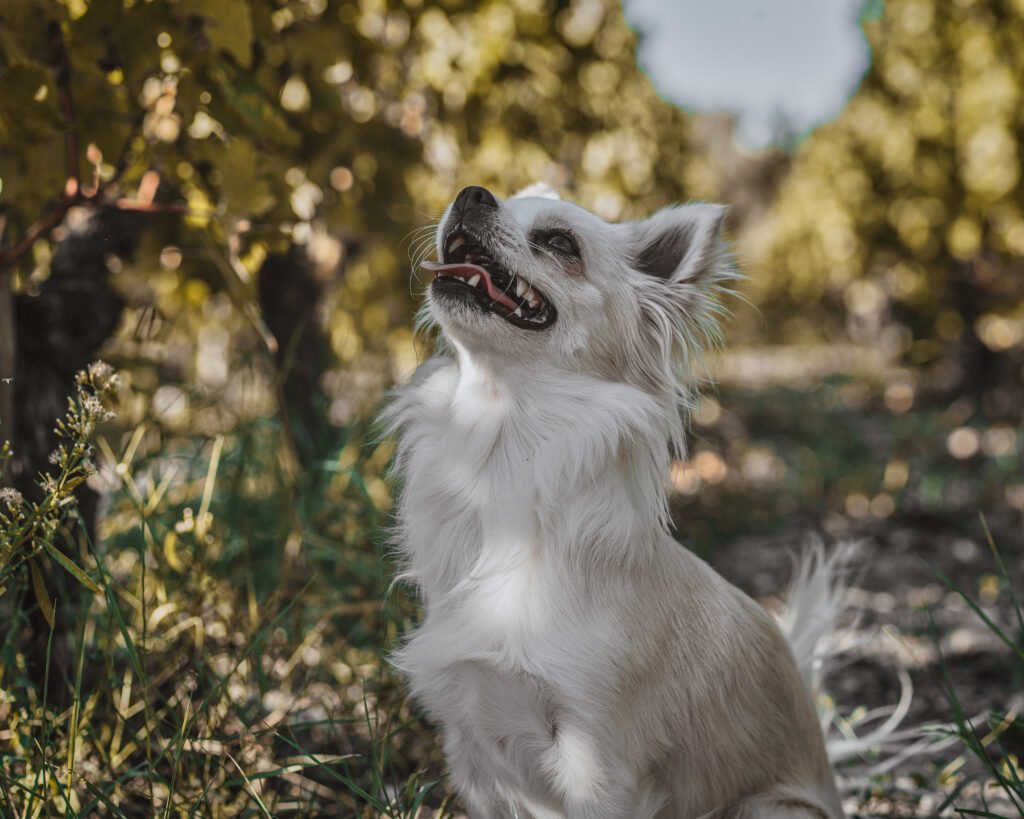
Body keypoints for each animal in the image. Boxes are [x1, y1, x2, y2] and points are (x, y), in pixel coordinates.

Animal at [385, 185, 847, 818]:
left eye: (560, 242)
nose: (472, 192)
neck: (500, 451)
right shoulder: (473, 756)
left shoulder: (596, 765)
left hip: (768, 808)